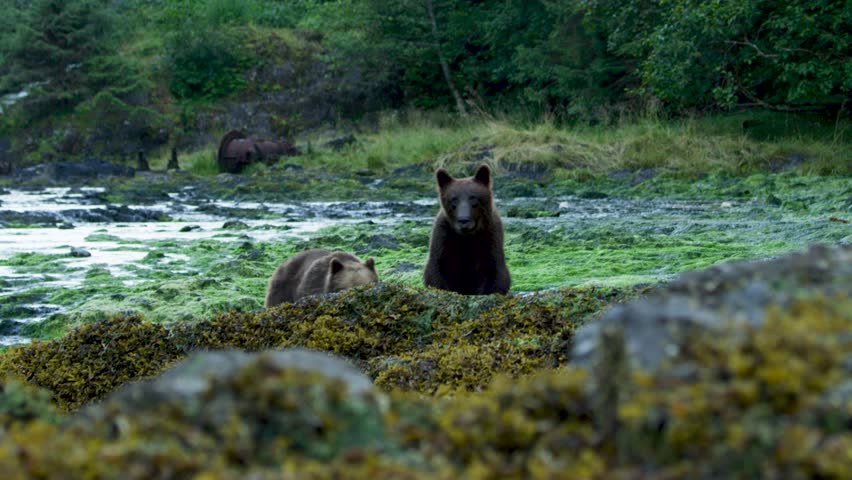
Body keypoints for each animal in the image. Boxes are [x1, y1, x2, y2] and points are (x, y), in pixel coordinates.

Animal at [423, 163, 511, 295]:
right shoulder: (444, 238)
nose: (463, 220)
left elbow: (494, 273)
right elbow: (438, 272)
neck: (467, 238)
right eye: (453, 200)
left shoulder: (489, 237)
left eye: (473, 198)